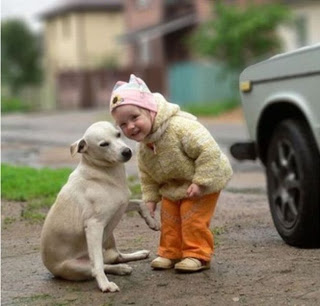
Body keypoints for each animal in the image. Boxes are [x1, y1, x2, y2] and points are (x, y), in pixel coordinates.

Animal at [40, 120, 159, 292]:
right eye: (103, 144)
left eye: (118, 134)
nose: (127, 152)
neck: (104, 172)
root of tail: (50, 268)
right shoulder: (94, 226)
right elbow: (98, 266)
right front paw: (105, 285)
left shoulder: (121, 205)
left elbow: (140, 203)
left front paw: (151, 221)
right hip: (79, 263)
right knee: (98, 266)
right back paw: (115, 273)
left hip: (109, 236)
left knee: (114, 257)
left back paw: (131, 260)